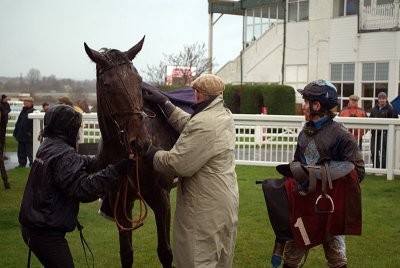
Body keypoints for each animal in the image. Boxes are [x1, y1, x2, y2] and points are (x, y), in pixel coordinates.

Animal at [84, 36, 175, 266]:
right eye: (108, 85)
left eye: (139, 80)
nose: (141, 142)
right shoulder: (122, 203)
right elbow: (126, 253)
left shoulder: (161, 199)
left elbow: (165, 252)